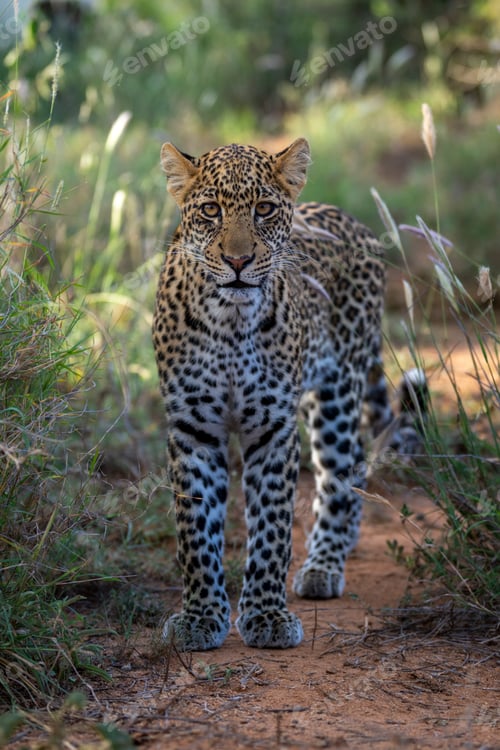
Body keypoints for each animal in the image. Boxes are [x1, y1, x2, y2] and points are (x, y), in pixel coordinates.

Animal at [152, 137, 424, 651]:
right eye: (211, 210)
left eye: (264, 209)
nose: (238, 262)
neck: (230, 320)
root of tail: (352, 221)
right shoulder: (194, 428)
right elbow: (195, 532)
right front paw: (200, 617)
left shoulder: (272, 427)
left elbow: (272, 528)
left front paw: (266, 616)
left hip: (338, 389)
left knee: (342, 471)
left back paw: (323, 564)